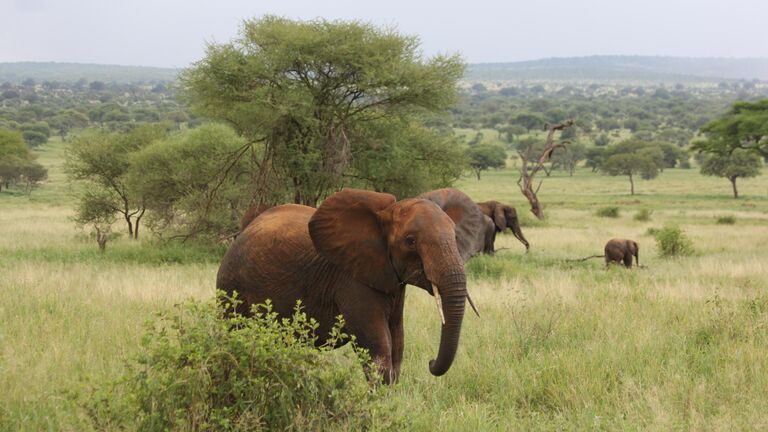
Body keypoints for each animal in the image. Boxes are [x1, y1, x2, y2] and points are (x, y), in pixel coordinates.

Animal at [216, 187, 476, 384]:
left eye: (455, 237)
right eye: (410, 241)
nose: (430, 362)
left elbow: (397, 343)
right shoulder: (350, 280)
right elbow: (377, 347)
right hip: (231, 287)